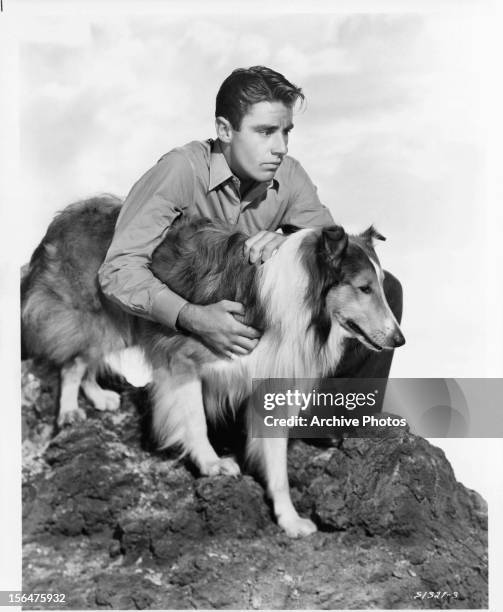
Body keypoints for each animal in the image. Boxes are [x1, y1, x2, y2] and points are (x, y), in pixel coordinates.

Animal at [21, 196, 406, 536]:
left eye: (378, 287)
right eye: (364, 288)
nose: (399, 339)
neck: (297, 300)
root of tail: (68, 214)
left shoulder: (271, 384)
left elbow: (277, 465)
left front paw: (289, 520)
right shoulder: (182, 359)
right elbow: (195, 422)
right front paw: (211, 464)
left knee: (85, 359)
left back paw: (98, 396)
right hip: (100, 315)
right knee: (73, 361)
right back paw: (70, 410)